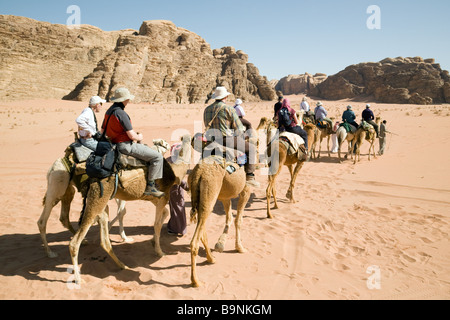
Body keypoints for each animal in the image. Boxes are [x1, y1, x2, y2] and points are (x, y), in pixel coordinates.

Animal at [36, 139, 171, 258]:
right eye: (165, 143)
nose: (170, 145)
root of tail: (53, 167)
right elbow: (121, 212)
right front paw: (119, 234)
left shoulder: (121, 193)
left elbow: (123, 212)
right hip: (58, 184)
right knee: (42, 220)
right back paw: (50, 253)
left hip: (67, 190)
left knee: (64, 216)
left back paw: (83, 241)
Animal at [68, 134, 192, 284]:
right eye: (164, 143)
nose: (187, 138)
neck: (174, 171)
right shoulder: (163, 197)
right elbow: (156, 224)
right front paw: (159, 251)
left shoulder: (155, 198)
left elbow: (165, 213)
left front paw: (152, 241)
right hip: (97, 199)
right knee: (75, 242)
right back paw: (78, 279)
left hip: (101, 203)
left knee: (105, 239)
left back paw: (122, 265)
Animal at [185, 158, 250, 288]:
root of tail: (198, 173)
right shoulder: (246, 189)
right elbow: (238, 220)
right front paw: (240, 247)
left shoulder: (225, 197)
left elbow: (229, 217)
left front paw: (221, 243)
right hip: (210, 192)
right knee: (194, 242)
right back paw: (195, 281)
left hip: (201, 200)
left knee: (202, 231)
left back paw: (211, 259)